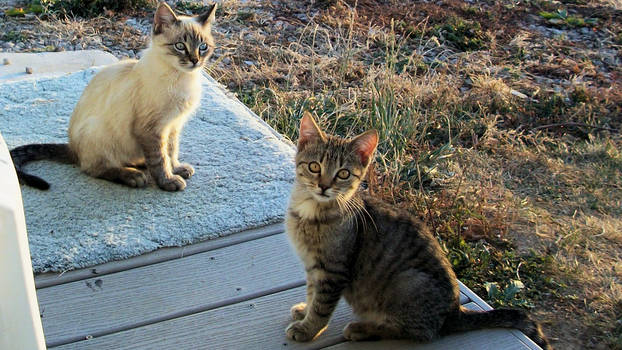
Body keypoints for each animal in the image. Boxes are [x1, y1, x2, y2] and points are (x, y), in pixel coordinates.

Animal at [10, 0, 217, 191]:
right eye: (180, 46)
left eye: (203, 47)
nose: (195, 61)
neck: (181, 77)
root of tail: (72, 147)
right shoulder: (152, 129)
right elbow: (160, 159)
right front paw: (168, 181)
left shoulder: (173, 125)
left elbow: (171, 151)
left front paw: (177, 169)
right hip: (98, 132)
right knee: (93, 168)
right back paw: (133, 176)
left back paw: (141, 165)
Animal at [286, 111, 552, 348]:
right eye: (314, 167)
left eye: (343, 174)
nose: (323, 186)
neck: (310, 212)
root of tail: (454, 312)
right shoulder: (313, 267)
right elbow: (312, 293)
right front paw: (305, 311)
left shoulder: (333, 271)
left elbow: (321, 306)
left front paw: (308, 329)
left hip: (407, 282)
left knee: (417, 331)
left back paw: (362, 329)